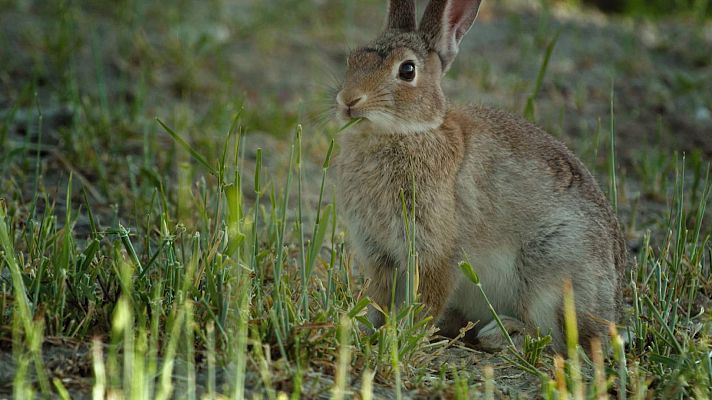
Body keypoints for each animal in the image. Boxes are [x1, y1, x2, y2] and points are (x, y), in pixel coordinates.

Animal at [332, 0, 624, 354]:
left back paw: (501, 333)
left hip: (552, 269)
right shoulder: (378, 253)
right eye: (353, 59)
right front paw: (364, 329)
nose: (348, 101)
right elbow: (379, 298)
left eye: (407, 70)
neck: (408, 132)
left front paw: (405, 334)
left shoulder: (438, 251)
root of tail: (610, 312)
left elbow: (428, 298)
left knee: (556, 339)